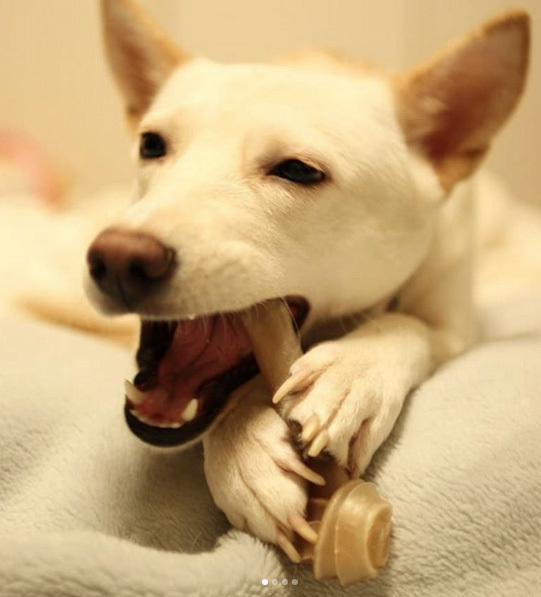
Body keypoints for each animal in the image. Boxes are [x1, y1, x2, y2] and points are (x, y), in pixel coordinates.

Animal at [81, 0, 536, 561]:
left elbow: (406, 324)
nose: (119, 261)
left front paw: (353, 371)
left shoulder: (454, 325)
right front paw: (244, 445)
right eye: (151, 145)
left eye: (298, 171)